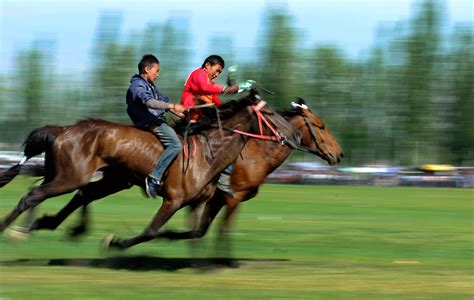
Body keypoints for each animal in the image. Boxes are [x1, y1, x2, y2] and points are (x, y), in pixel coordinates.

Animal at [0, 90, 296, 250]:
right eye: (271, 114)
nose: (292, 136)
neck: (208, 152)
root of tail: (62, 130)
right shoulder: (173, 199)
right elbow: (152, 230)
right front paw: (116, 242)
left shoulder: (196, 201)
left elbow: (194, 233)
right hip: (71, 176)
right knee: (35, 194)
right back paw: (16, 229)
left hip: (103, 178)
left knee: (79, 194)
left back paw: (46, 225)